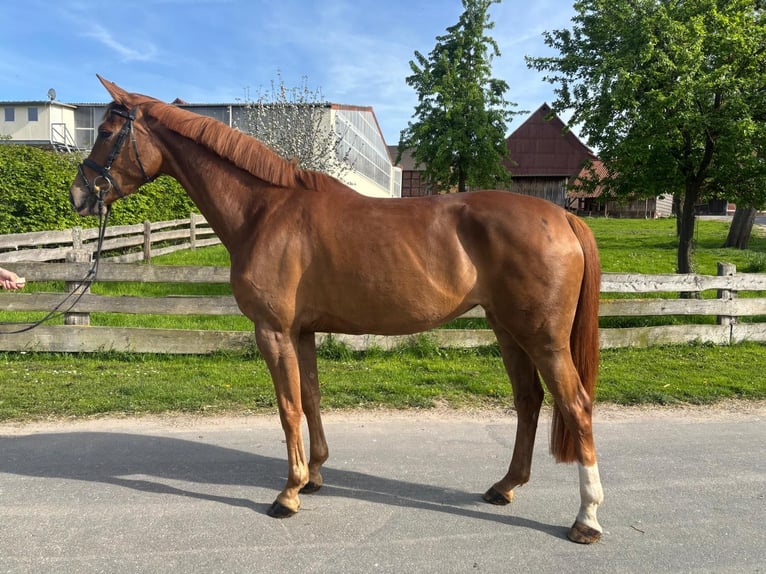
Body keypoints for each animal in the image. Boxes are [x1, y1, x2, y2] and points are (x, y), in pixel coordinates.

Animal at [70, 76, 604, 544]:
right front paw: (313, 476)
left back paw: (587, 518)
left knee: (576, 406)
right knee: (529, 401)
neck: (264, 210)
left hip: (542, 339)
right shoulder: (302, 332)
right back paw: (505, 487)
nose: (78, 194)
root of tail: (563, 216)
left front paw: (287, 494)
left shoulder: (273, 331)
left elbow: (287, 407)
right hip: (508, 331)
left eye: (107, 132)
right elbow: (310, 398)